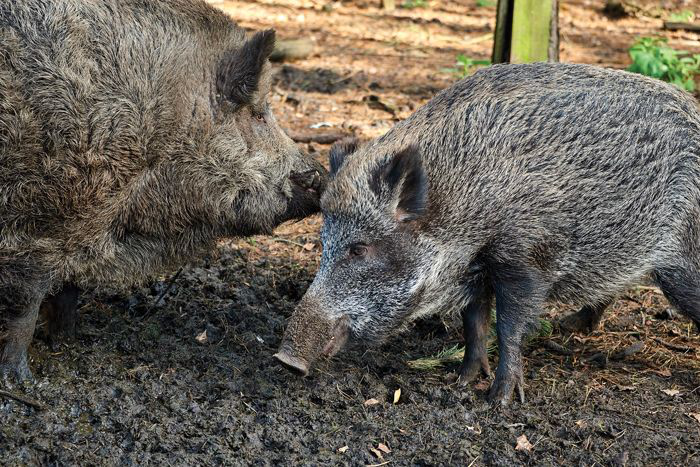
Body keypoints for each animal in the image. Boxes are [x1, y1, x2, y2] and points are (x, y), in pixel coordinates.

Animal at [0, 0, 327, 381]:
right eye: (258, 114)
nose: (321, 176)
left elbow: (66, 289)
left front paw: (68, 339)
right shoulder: (45, 224)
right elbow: (27, 305)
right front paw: (21, 379)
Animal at [275, 62, 700, 404]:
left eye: (360, 248)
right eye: (323, 243)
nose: (285, 359)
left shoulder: (525, 259)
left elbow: (509, 325)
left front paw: (500, 400)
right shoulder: (474, 269)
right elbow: (474, 322)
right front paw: (463, 382)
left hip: (683, 261)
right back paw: (571, 326)